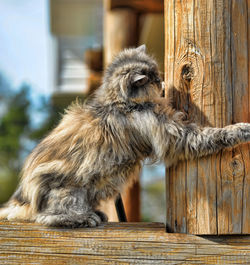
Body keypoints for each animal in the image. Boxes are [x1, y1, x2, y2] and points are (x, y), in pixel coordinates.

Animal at [0, 44, 250, 226]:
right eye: (154, 79)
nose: (162, 82)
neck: (119, 103)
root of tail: (22, 198)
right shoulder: (173, 134)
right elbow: (211, 135)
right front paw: (241, 130)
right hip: (69, 189)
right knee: (46, 217)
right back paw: (83, 218)